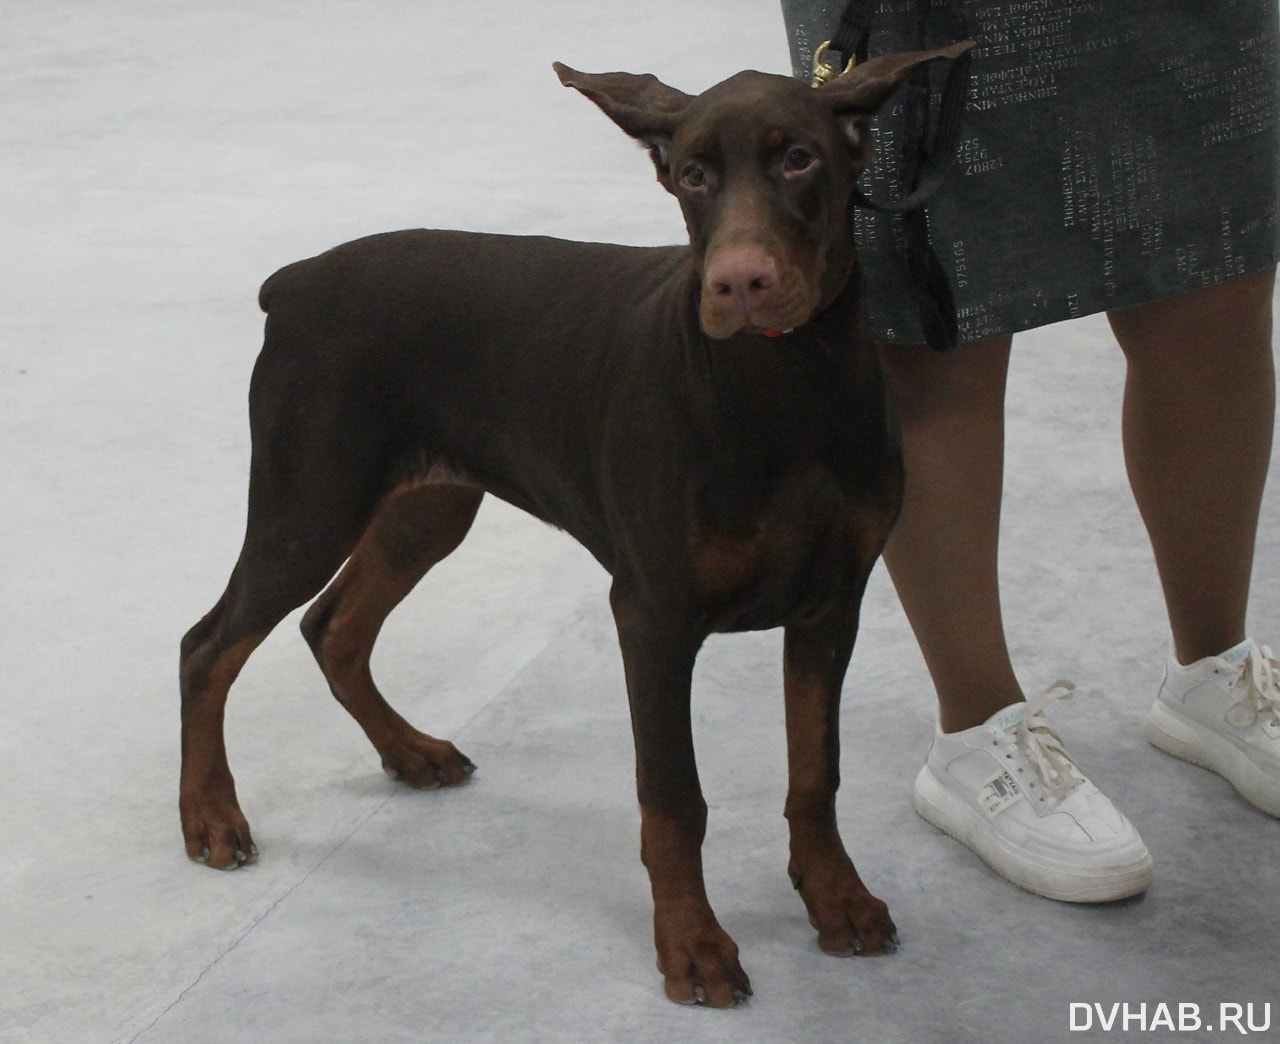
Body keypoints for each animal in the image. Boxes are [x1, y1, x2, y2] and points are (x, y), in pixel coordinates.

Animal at [180, 44, 967, 1008]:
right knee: (209, 645)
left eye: (799, 159)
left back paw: (409, 752)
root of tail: (293, 282)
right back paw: (211, 815)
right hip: (309, 502)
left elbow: (817, 773)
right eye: (693, 174)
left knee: (332, 626)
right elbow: (674, 799)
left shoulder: (831, 603)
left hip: (425, 507)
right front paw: (693, 947)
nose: (738, 283)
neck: (782, 389)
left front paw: (838, 900)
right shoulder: (654, 614)